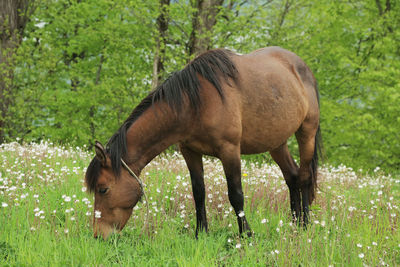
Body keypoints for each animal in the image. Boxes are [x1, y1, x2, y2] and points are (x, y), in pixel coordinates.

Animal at [84, 46, 322, 241]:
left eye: (103, 189)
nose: (98, 235)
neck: (195, 102)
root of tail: (301, 67)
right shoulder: (189, 151)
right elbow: (198, 192)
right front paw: (201, 233)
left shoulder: (229, 150)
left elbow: (236, 194)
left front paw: (246, 234)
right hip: (276, 142)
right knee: (291, 177)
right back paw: (293, 223)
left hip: (306, 133)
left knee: (304, 176)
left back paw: (305, 225)